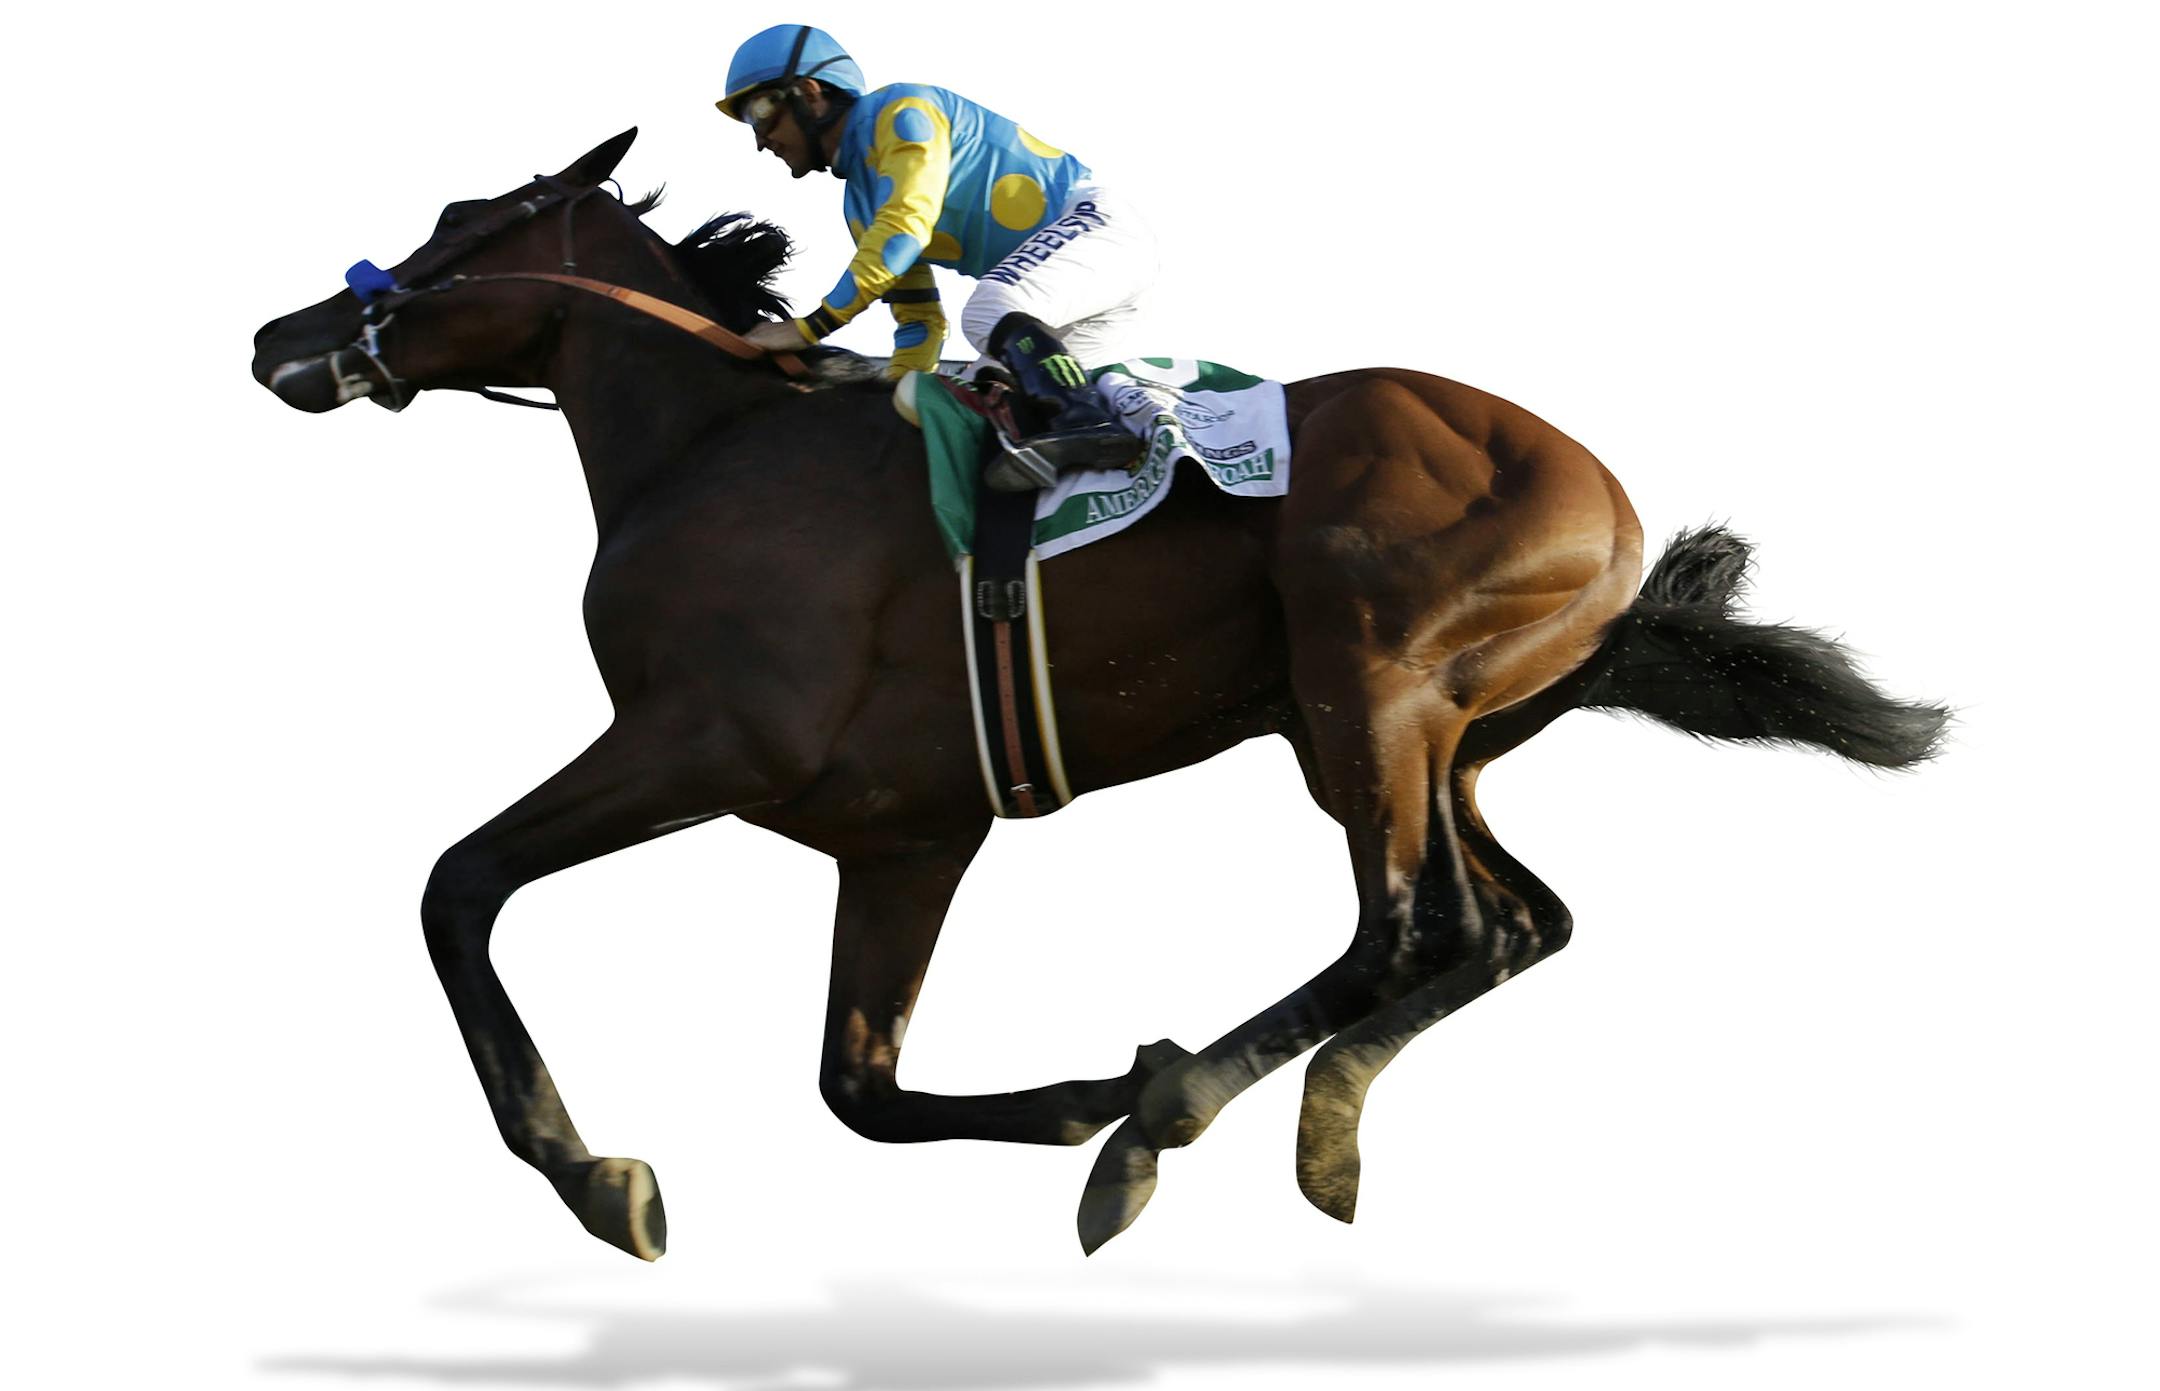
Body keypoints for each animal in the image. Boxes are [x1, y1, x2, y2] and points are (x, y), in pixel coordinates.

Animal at [250, 130, 1946, 1261]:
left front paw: (589, 1168)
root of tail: (1609, 504)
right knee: (1517, 922)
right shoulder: (905, 833)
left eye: (457, 223)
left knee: (1417, 925)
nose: (285, 333)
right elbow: (859, 1084)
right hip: (1436, 737)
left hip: (1366, 687)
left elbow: (457, 884)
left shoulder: (704, 739)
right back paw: (1273, 1116)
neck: (715, 443)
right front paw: (1078, 1092)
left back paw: (1172, 1115)